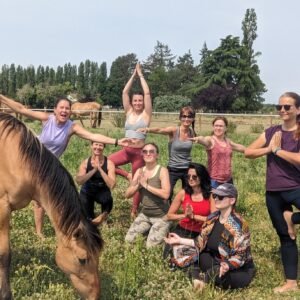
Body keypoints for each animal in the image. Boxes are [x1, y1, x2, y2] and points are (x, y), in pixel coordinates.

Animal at [0, 113, 103, 300]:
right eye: (82, 259)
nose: (95, 296)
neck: (16, 159)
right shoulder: (2, 207)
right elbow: (4, 254)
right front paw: (5, 294)